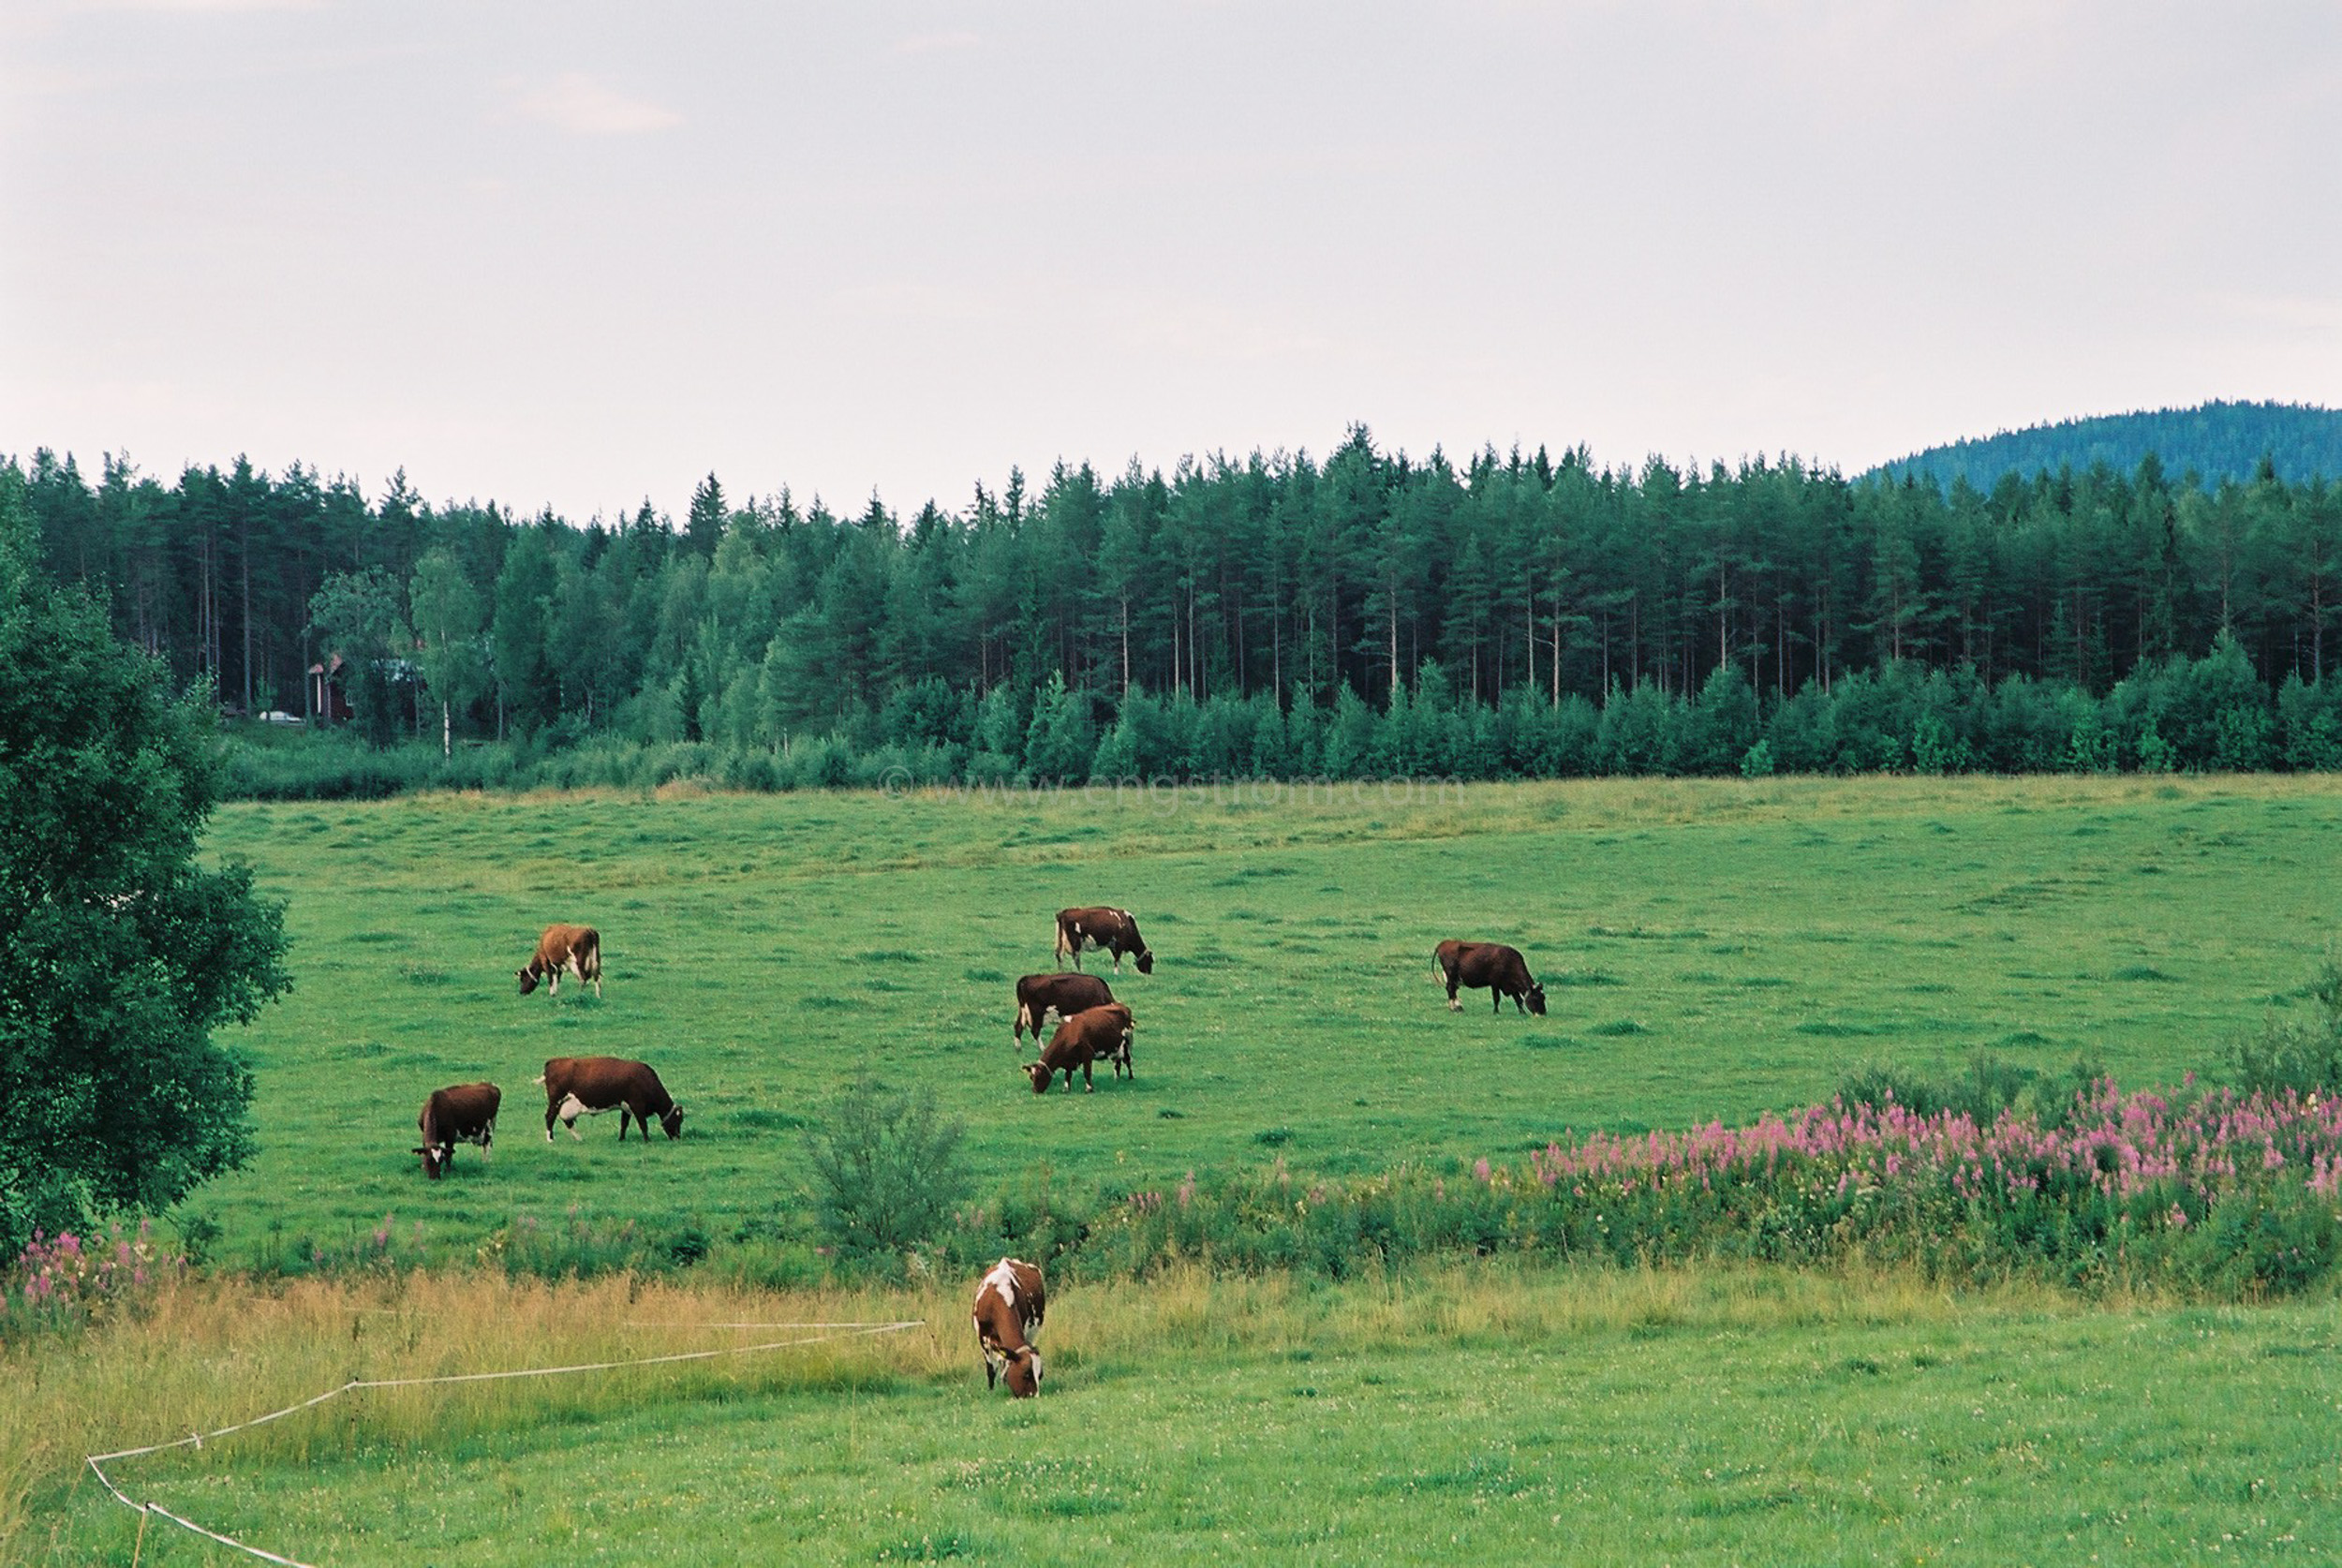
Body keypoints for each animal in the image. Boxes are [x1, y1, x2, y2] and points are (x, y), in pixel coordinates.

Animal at [545, 1058, 684, 1142]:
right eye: (678, 1120)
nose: (677, 1138)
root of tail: (553, 1061)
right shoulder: (637, 1105)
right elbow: (643, 1124)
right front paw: (647, 1141)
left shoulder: (626, 1107)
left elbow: (624, 1124)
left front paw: (621, 1139)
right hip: (556, 1100)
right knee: (550, 1117)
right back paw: (550, 1139)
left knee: (567, 1120)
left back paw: (579, 1138)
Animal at [965, 1264, 1049, 1404]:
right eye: (1026, 1374)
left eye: (1040, 1375)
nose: (1035, 1397)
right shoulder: (983, 1339)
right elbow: (991, 1369)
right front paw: (992, 1391)